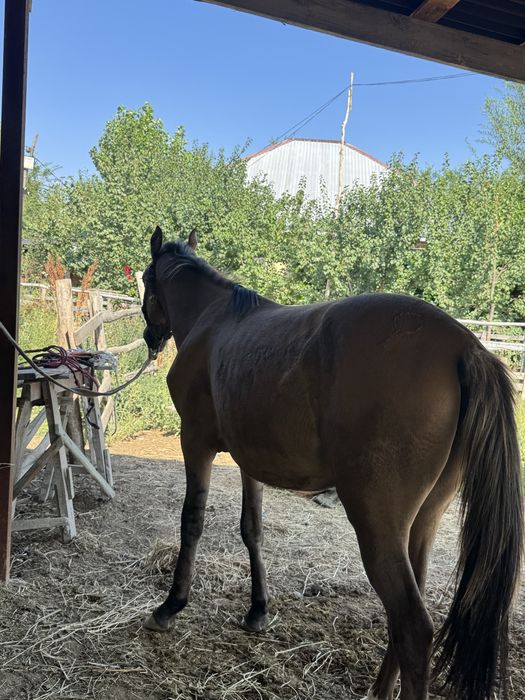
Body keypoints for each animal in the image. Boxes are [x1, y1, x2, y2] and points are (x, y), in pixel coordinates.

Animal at [140, 226, 523, 700]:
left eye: (145, 279)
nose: (149, 338)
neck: (214, 320)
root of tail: (464, 346)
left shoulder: (195, 440)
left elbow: (192, 521)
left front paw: (170, 606)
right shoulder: (249, 461)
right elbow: (253, 529)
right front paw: (257, 611)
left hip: (377, 523)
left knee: (414, 627)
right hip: (424, 520)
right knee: (406, 615)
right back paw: (379, 688)